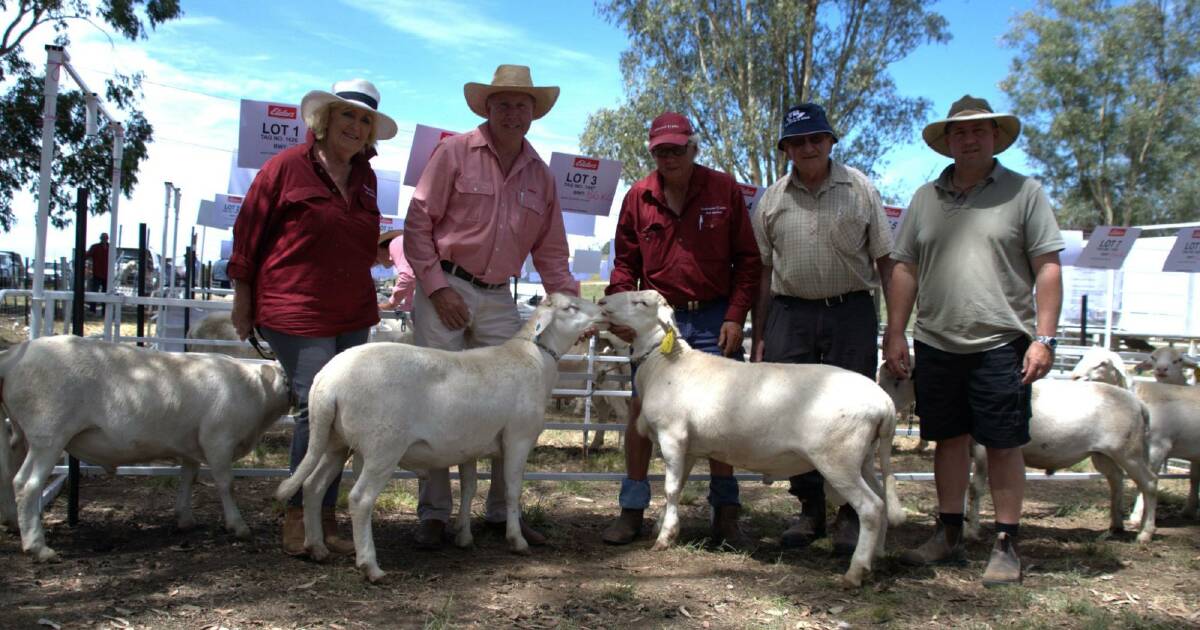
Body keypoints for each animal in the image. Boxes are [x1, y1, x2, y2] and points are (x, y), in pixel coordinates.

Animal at [0, 336, 290, 556]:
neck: (259, 390)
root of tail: (13, 355)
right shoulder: (218, 439)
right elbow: (226, 484)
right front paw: (238, 526)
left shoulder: (191, 444)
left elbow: (188, 477)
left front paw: (185, 519)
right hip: (48, 433)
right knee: (26, 483)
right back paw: (38, 547)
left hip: (22, 433)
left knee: (9, 474)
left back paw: (14, 523)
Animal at [276, 292, 604, 583]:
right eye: (571, 307)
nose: (602, 308)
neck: (534, 359)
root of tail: (327, 382)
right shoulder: (518, 438)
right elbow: (512, 490)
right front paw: (516, 540)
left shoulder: (470, 445)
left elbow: (470, 488)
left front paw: (463, 536)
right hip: (383, 447)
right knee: (359, 499)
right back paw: (370, 567)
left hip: (335, 441)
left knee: (313, 486)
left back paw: (317, 548)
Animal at [600, 289, 902, 585]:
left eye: (641, 302)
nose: (602, 300)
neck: (665, 362)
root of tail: (885, 403)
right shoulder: (690, 447)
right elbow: (679, 485)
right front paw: (662, 525)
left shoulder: (672, 436)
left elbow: (671, 488)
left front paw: (665, 538)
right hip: (863, 456)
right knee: (883, 500)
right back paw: (877, 555)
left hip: (838, 458)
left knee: (871, 507)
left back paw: (856, 571)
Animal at [969, 379, 1156, 540]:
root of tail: (1139, 405)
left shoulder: (982, 450)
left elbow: (974, 489)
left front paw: (971, 531)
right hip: (1102, 454)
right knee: (1116, 478)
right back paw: (1116, 526)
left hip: (1129, 452)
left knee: (1149, 483)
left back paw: (1145, 533)